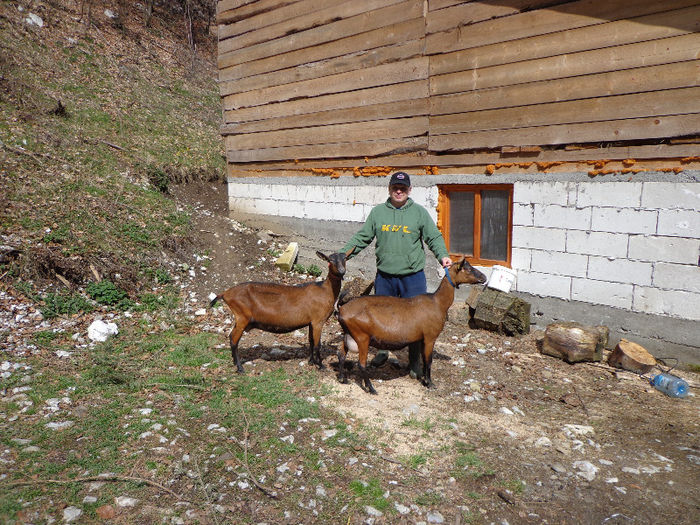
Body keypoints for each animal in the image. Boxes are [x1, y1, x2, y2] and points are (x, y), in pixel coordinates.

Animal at [208, 251, 350, 370]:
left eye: (345, 258)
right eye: (330, 260)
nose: (342, 271)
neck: (325, 290)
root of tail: (225, 294)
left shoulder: (311, 322)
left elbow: (310, 341)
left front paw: (311, 362)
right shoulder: (318, 321)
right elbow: (317, 344)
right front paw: (320, 365)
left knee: (231, 337)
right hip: (242, 317)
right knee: (233, 339)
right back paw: (239, 367)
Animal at [336, 258, 484, 392]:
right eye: (468, 269)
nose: (484, 277)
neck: (438, 302)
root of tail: (342, 309)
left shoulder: (422, 338)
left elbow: (423, 359)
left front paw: (424, 379)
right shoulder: (430, 337)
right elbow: (428, 361)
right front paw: (430, 383)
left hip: (348, 334)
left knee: (341, 354)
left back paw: (343, 379)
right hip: (362, 337)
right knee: (361, 364)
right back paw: (371, 388)